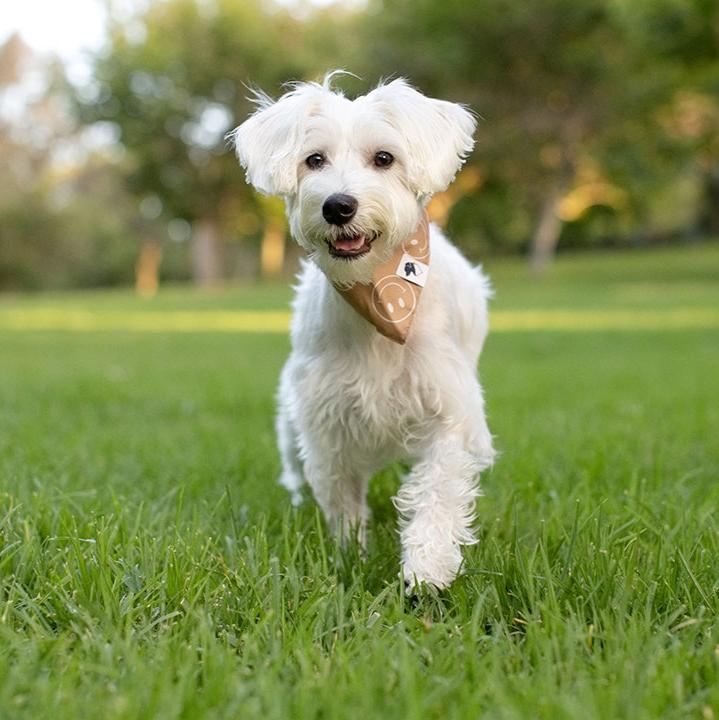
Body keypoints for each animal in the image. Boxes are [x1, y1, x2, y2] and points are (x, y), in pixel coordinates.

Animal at [233, 74, 498, 592]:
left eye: (384, 158)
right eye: (314, 159)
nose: (338, 205)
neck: (378, 293)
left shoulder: (449, 410)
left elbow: (438, 489)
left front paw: (427, 566)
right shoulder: (326, 420)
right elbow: (341, 500)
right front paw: (350, 557)